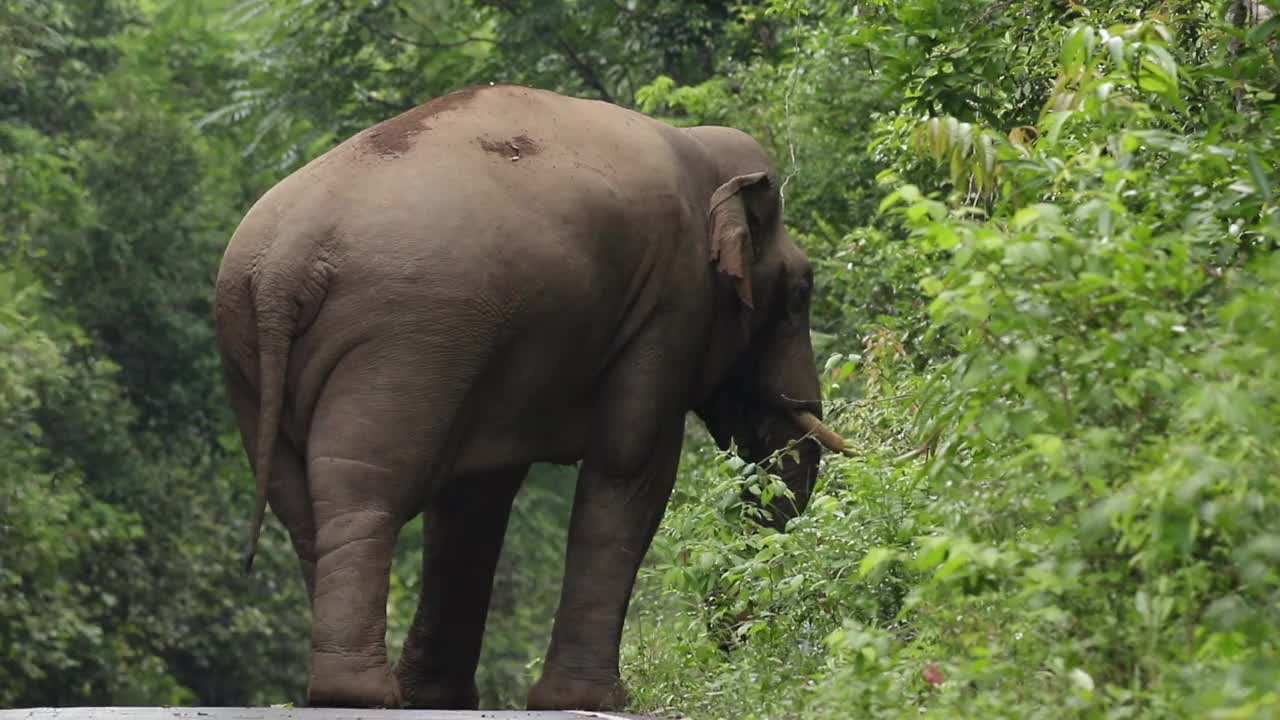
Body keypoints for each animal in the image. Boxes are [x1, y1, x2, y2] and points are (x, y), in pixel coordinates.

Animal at [213, 81, 844, 707]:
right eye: (801, 293)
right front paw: (592, 703)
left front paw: (439, 702)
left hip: (251, 354)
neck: (700, 150)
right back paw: (361, 695)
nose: (733, 640)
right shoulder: (671, 302)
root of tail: (283, 266)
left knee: (303, 509)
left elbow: (473, 498)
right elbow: (632, 461)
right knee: (364, 491)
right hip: (400, 339)